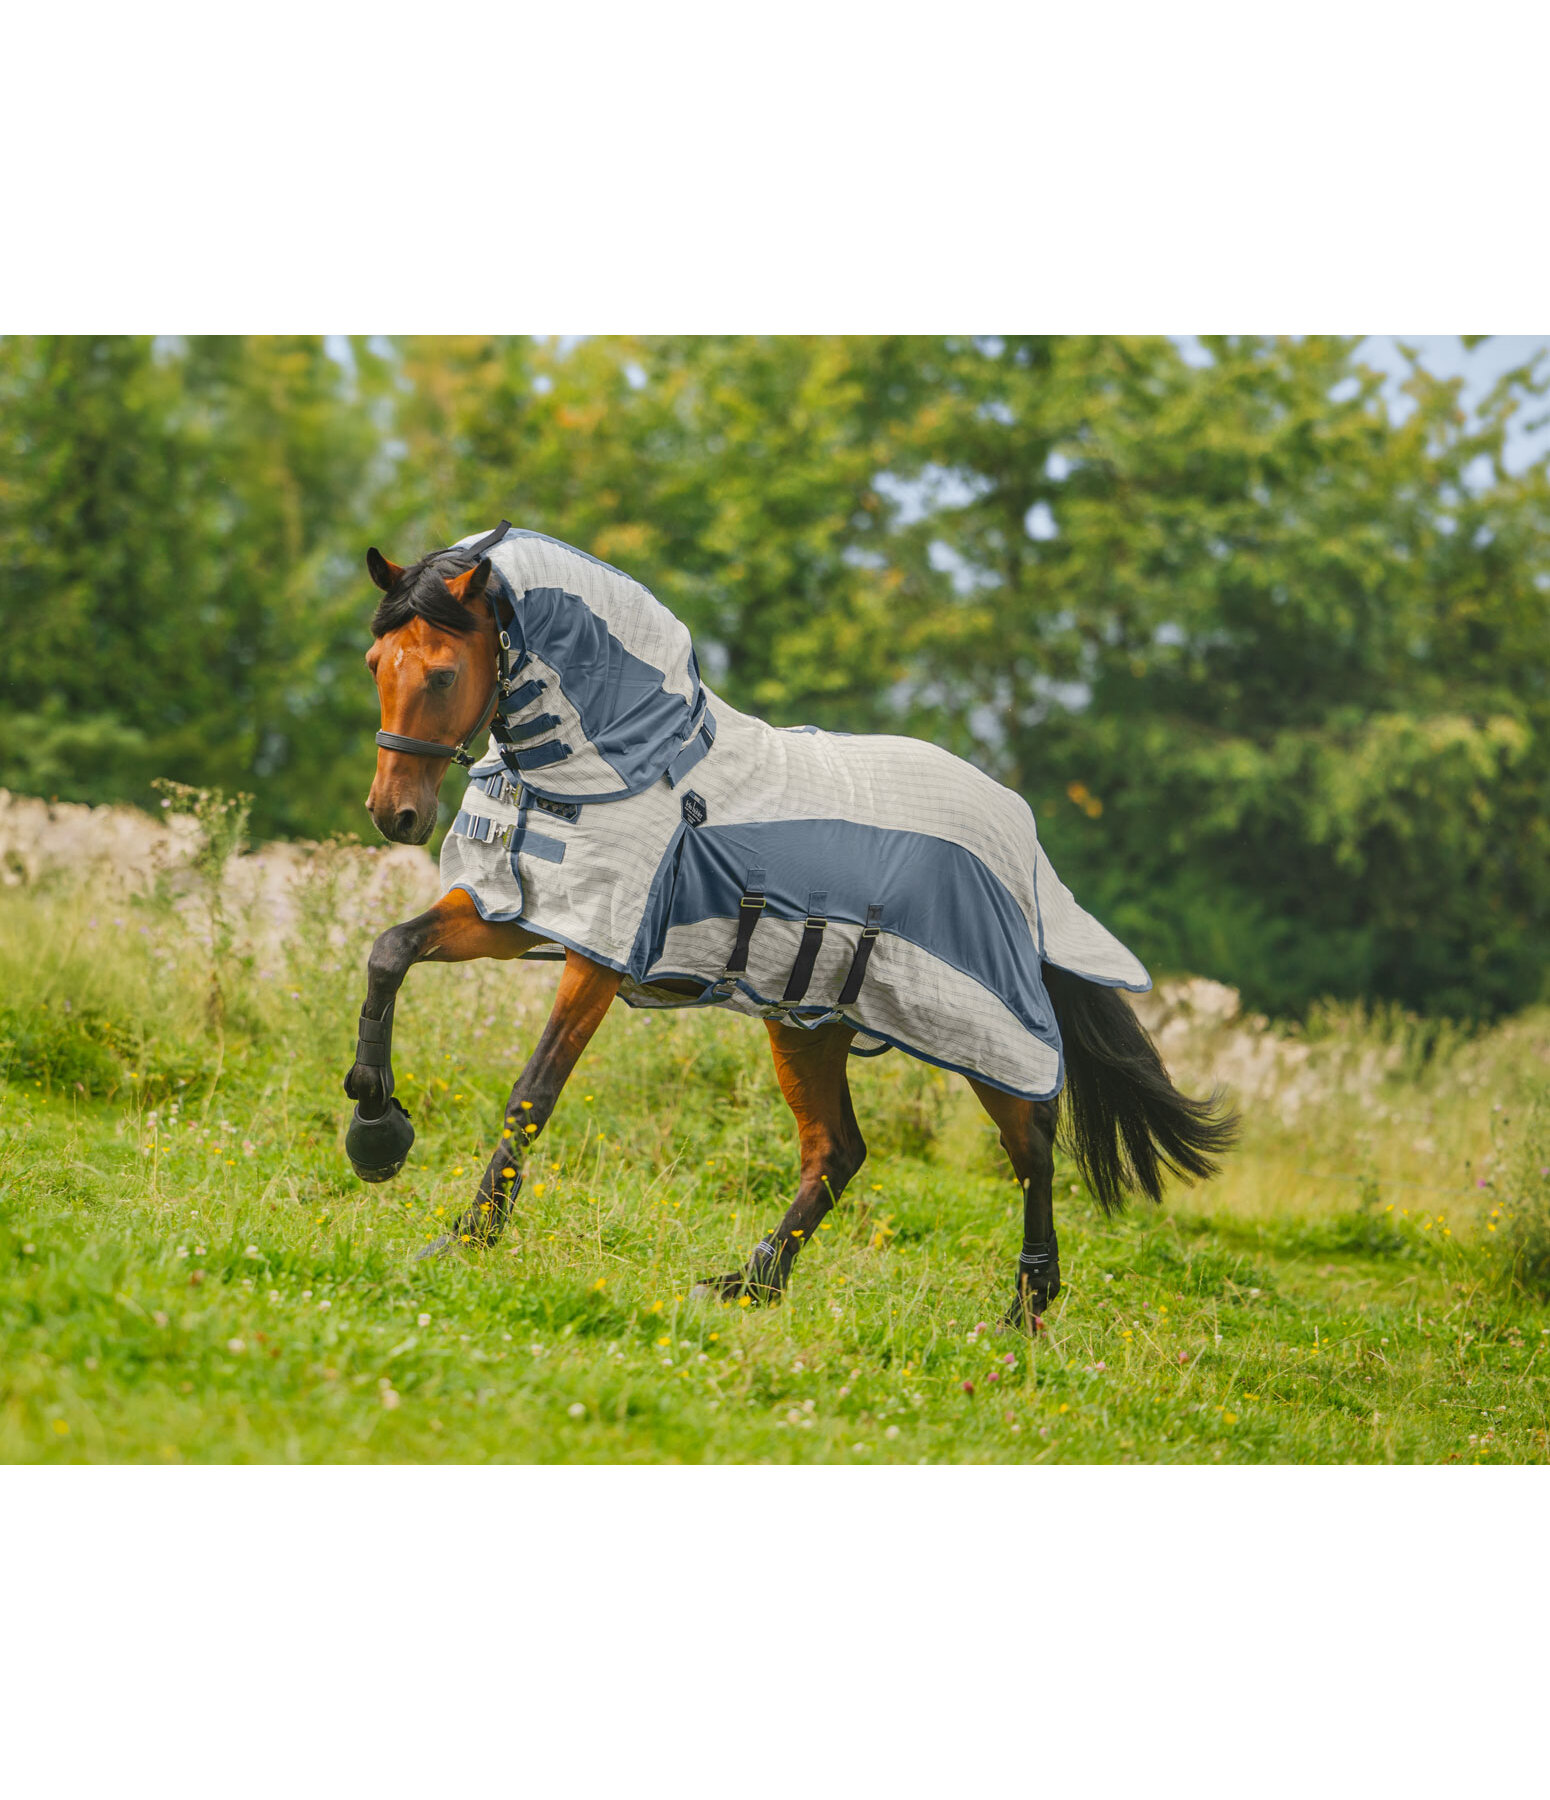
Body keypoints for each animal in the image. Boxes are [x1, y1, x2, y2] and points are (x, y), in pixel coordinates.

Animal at [342, 525, 1231, 1332]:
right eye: (376, 664)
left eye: (444, 671)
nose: (395, 814)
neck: (621, 763)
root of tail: (1023, 844)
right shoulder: (522, 914)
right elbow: (390, 951)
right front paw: (376, 1125)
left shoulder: (598, 953)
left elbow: (533, 1093)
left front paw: (468, 1236)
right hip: (811, 1022)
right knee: (836, 1151)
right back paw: (753, 1283)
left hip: (981, 1032)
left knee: (1032, 1146)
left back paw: (1025, 1308)